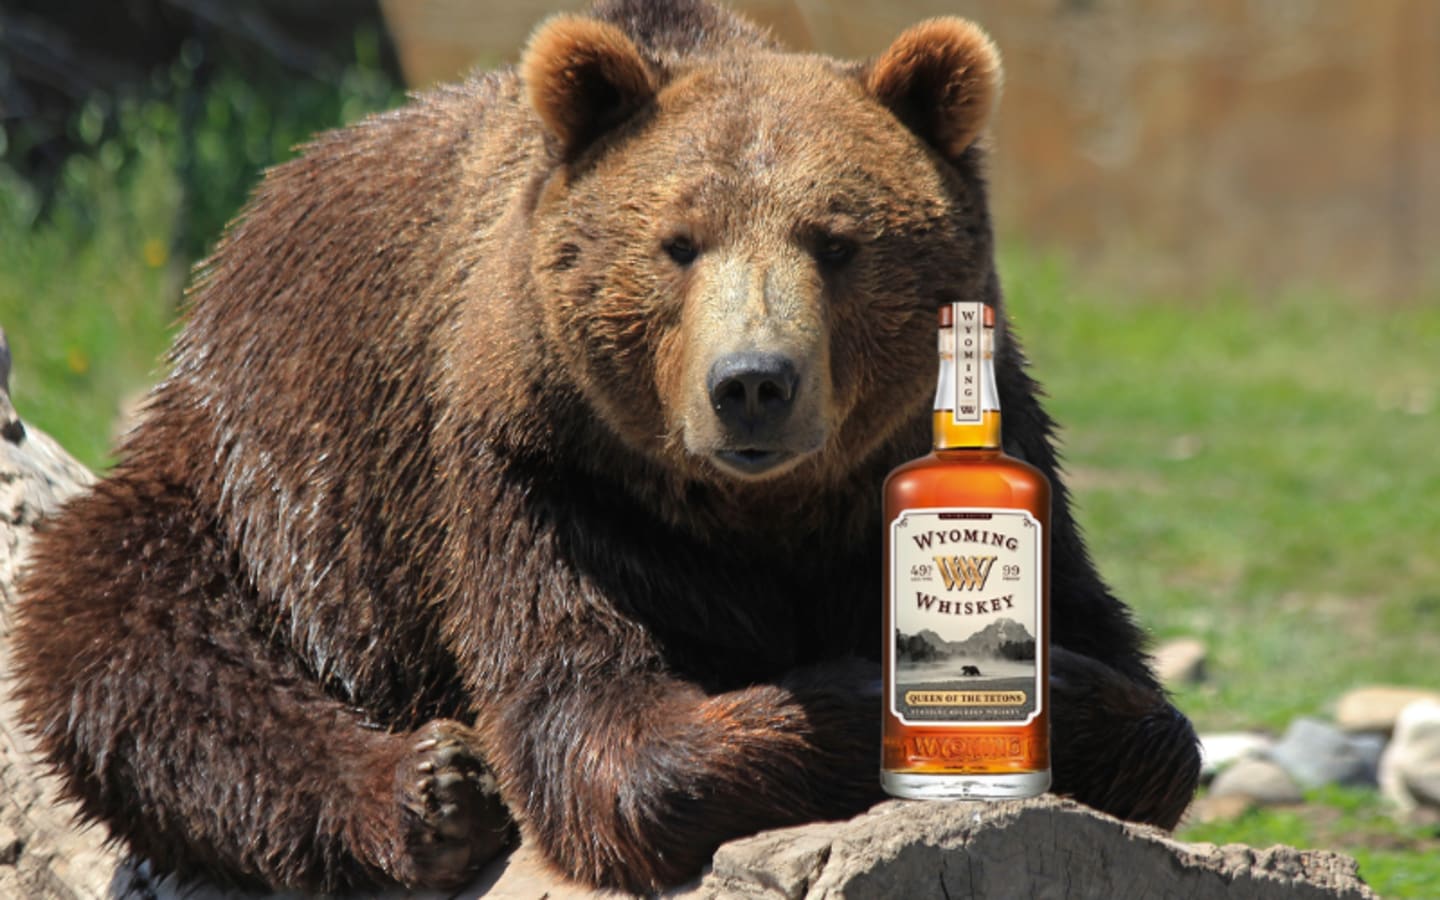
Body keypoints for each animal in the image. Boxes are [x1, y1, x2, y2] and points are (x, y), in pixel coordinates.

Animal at [10, 0, 1201, 893]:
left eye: (837, 242)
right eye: (678, 243)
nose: (752, 384)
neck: (755, 514)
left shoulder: (957, 462)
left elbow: (1134, 691)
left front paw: (1066, 701)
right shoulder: (539, 476)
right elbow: (601, 727)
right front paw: (848, 694)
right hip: (259, 485)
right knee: (133, 641)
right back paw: (430, 791)